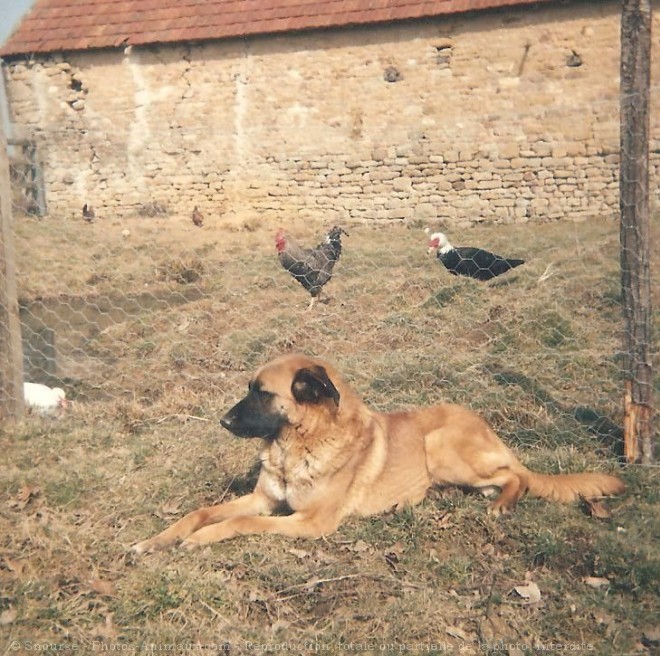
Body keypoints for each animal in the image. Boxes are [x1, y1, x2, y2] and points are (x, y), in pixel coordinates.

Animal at [133, 354, 624, 552]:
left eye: (262, 393)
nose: (222, 421)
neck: (300, 445)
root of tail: (488, 426)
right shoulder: (265, 498)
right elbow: (199, 511)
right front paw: (157, 540)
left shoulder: (309, 522)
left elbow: (240, 523)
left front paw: (200, 540)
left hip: (440, 447)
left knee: (517, 477)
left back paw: (503, 503)